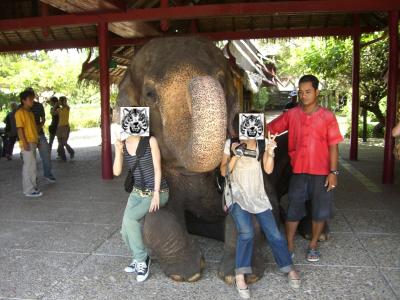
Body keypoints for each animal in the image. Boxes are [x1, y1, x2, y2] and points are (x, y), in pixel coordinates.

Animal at [115, 36, 290, 282]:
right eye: (150, 94)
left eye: (222, 80)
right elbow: (156, 218)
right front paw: (186, 273)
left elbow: (264, 211)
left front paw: (238, 275)